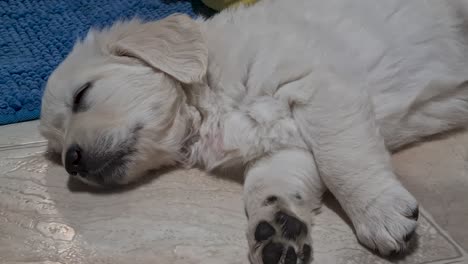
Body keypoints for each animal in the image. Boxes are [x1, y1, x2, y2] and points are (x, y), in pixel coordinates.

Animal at [39, 0, 468, 262]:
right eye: (58, 151)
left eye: (82, 95)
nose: (72, 162)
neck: (206, 93)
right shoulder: (282, 145)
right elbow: (270, 182)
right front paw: (278, 227)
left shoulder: (319, 87)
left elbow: (341, 159)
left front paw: (379, 213)